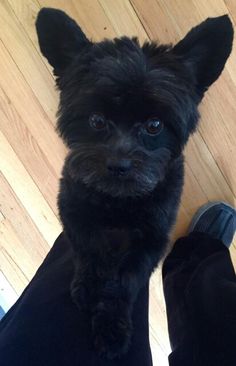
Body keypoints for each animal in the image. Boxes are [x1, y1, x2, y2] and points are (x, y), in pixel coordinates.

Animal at [36, 9, 233, 360]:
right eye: (96, 120)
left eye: (154, 125)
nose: (119, 165)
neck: (119, 201)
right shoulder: (72, 207)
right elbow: (89, 248)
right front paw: (89, 286)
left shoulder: (153, 238)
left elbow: (124, 281)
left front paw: (112, 328)